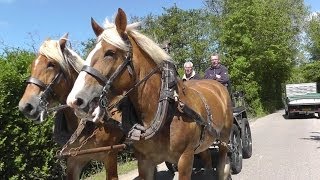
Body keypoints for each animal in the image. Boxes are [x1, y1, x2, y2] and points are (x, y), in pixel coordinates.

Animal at [17, 33, 124, 179]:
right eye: (32, 65)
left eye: (51, 64)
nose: (25, 106)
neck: (85, 122)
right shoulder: (74, 160)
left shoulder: (109, 155)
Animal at [67, 8, 232, 180]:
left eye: (110, 53)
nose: (74, 100)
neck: (165, 107)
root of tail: (216, 85)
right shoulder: (144, 161)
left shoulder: (185, 158)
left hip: (224, 137)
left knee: (222, 164)